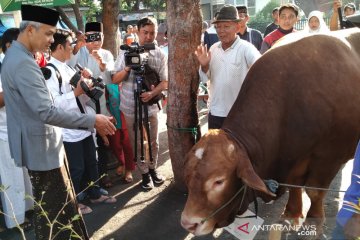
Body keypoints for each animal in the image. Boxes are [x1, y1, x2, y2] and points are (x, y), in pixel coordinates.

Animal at [181, 28, 360, 236]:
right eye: (188, 175)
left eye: (218, 181)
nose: (189, 224)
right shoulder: (292, 157)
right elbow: (295, 184)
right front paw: (291, 213)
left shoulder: (329, 157)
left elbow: (314, 192)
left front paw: (313, 223)